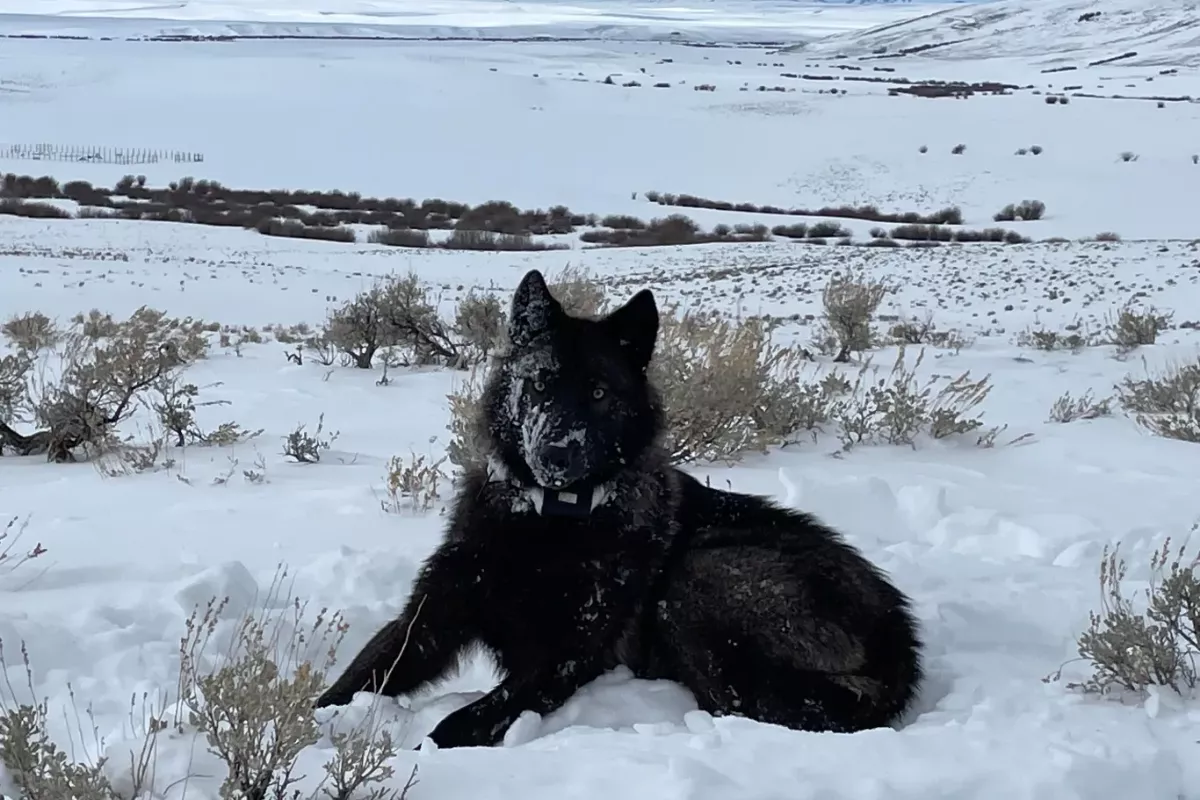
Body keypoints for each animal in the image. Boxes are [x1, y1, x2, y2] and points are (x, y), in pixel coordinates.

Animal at [314, 269, 923, 748]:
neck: (550, 525)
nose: (556, 452)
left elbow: (465, 721)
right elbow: (352, 681)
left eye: (600, 393)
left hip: (699, 577)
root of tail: (900, 643)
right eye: (540, 384)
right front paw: (307, 729)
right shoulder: (430, 619)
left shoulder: (566, 657)